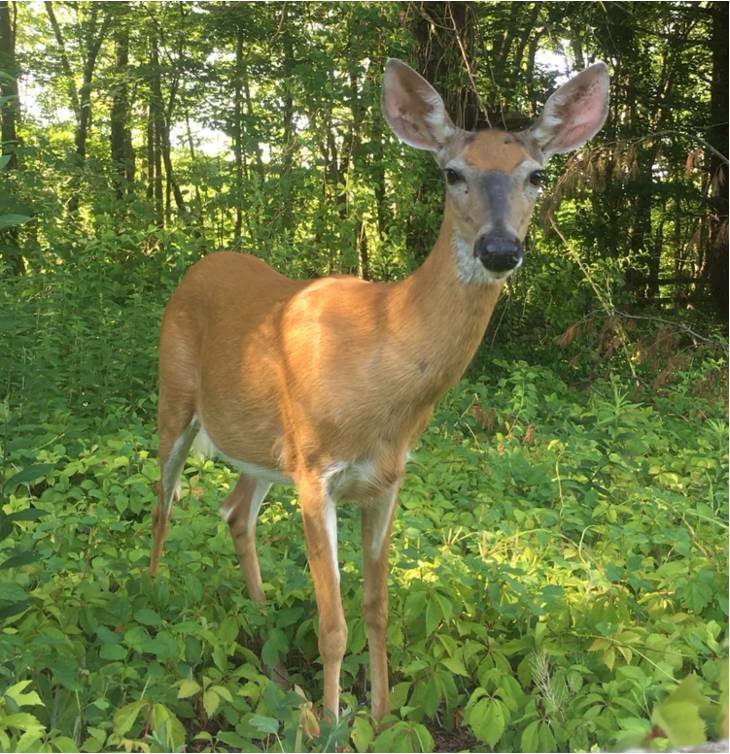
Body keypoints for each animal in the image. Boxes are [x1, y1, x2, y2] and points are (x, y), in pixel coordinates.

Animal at [149, 57, 608, 716]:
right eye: (452, 173)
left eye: (537, 175)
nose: (500, 248)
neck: (381, 369)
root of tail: (201, 264)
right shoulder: (316, 473)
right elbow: (332, 624)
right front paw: (332, 722)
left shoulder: (387, 478)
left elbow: (377, 608)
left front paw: (383, 716)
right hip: (174, 397)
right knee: (162, 502)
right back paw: (153, 596)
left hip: (264, 445)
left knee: (235, 511)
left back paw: (264, 637)